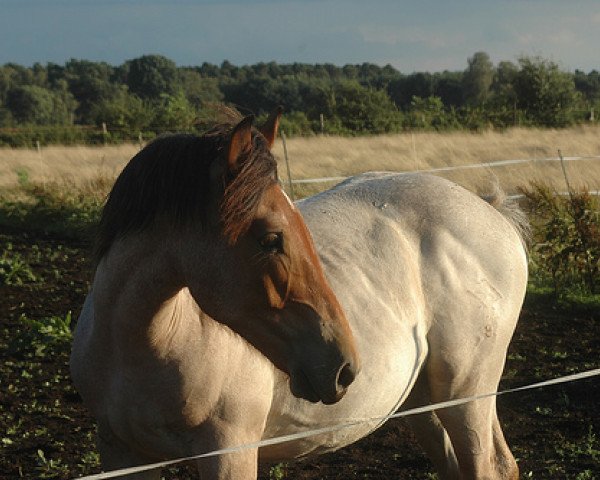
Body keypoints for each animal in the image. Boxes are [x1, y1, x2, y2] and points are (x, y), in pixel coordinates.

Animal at [71, 109, 528, 480]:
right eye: (271, 239)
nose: (344, 368)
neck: (142, 347)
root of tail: (491, 209)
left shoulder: (230, 453)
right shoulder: (123, 454)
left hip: (466, 392)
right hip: (422, 400)